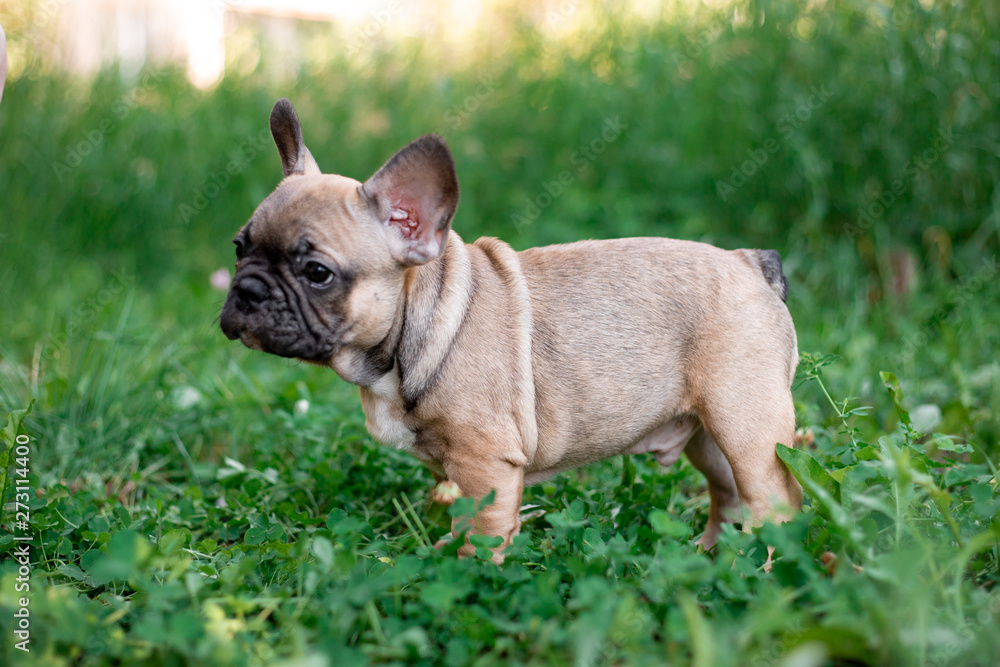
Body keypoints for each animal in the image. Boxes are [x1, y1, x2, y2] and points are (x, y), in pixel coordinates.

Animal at [221, 96, 804, 560]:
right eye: (239, 247)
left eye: (316, 273)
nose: (247, 290)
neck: (419, 323)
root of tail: (751, 263)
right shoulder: (460, 470)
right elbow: (461, 520)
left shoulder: (487, 465)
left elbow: (483, 531)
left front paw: (471, 575)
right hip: (708, 436)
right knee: (729, 496)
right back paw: (712, 557)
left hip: (746, 425)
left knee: (775, 502)